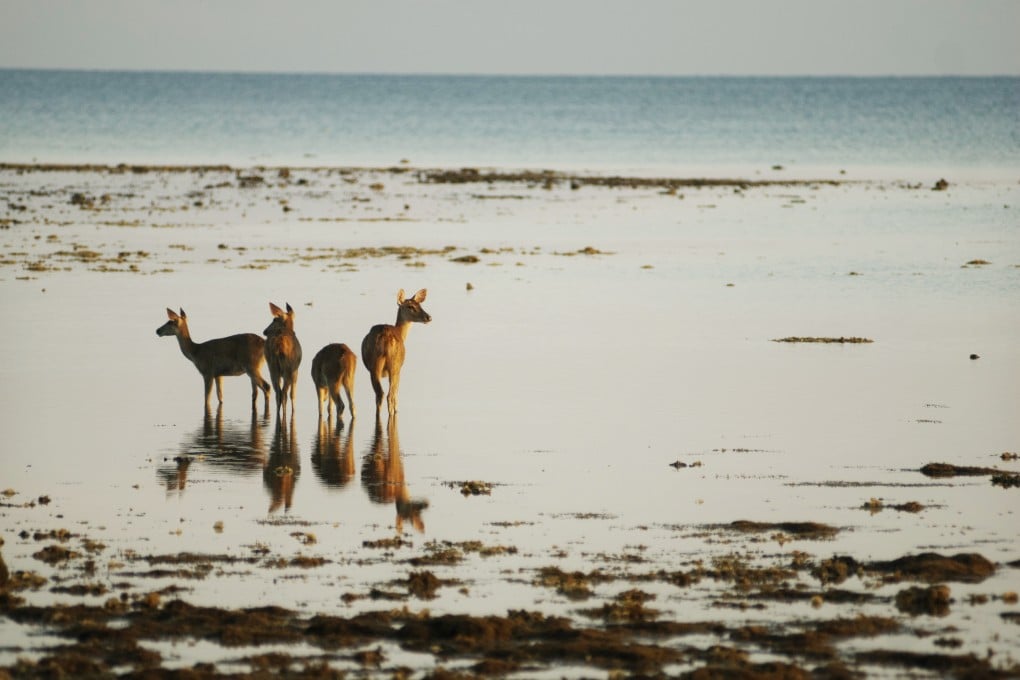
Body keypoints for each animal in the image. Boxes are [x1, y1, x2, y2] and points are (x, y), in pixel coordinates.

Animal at [361, 288, 431, 417]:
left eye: (420, 305)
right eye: (410, 306)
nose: (429, 317)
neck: (401, 333)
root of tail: (385, 338)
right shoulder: (400, 369)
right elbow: (396, 393)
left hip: (374, 365)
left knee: (379, 394)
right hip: (394, 365)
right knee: (390, 395)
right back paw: (392, 414)